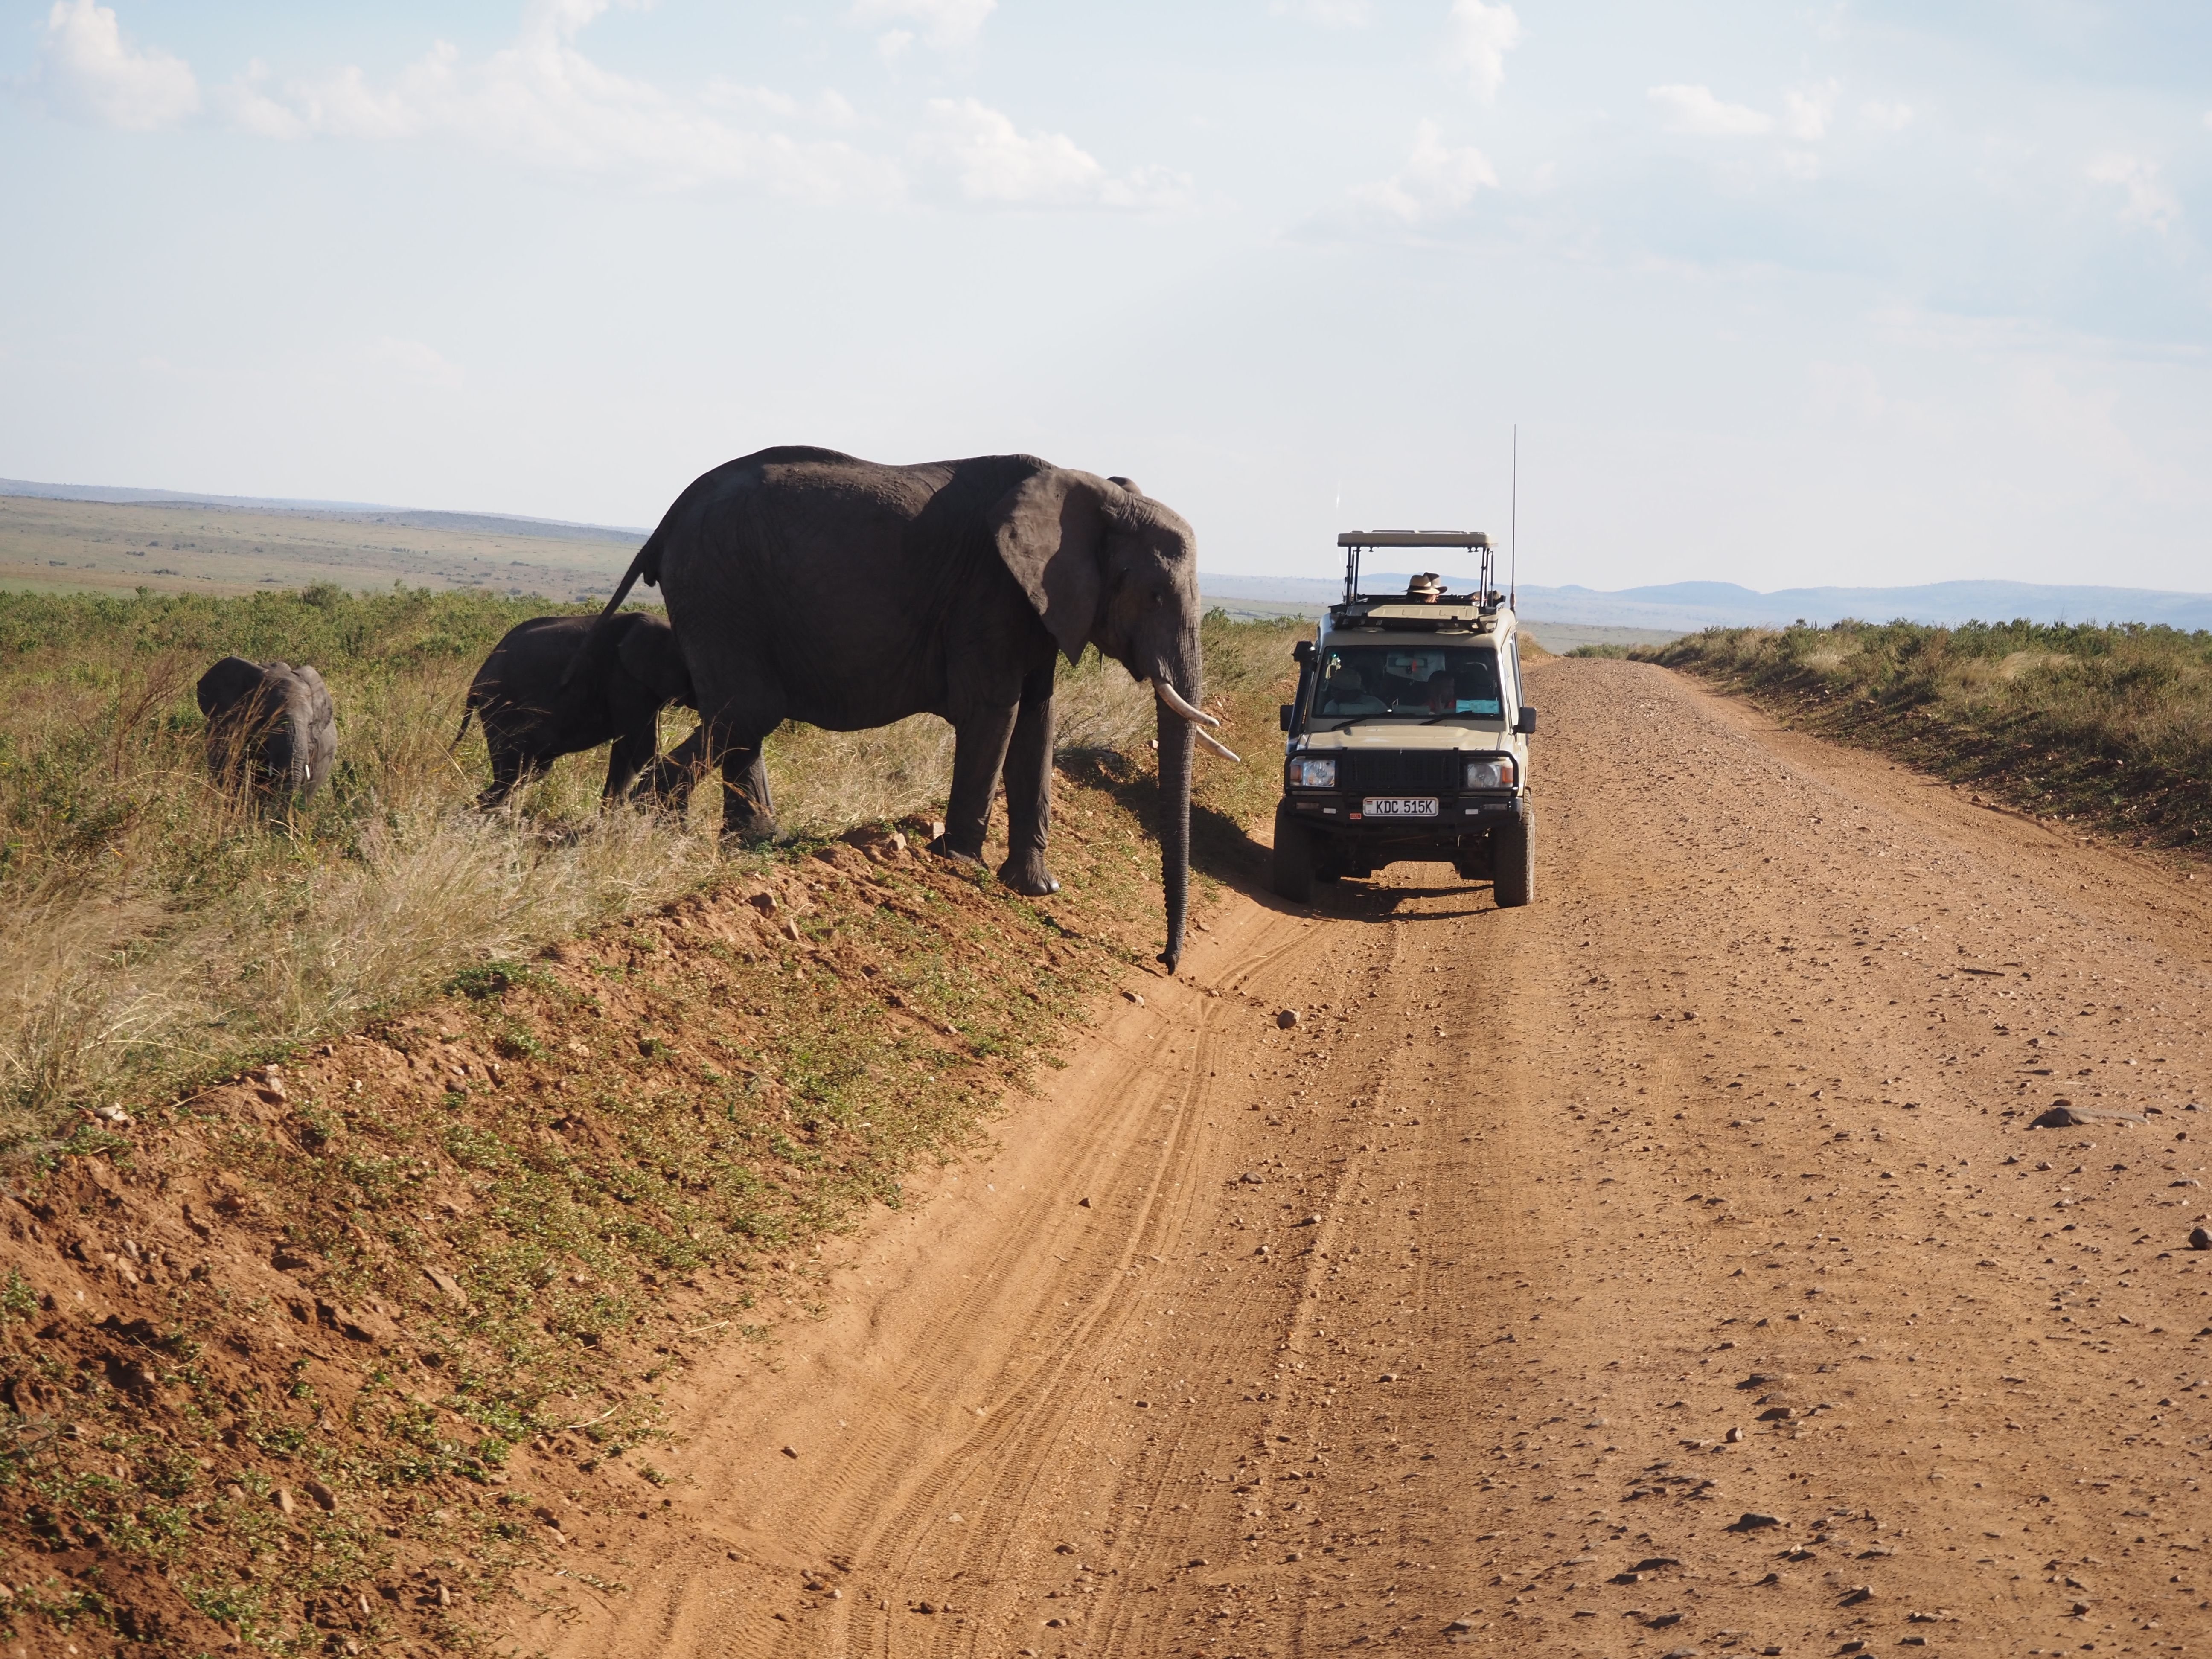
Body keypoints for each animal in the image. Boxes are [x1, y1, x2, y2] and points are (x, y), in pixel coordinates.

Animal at [462, 619, 703, 814]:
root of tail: (476, 679)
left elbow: (627, 752)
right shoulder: (628, 681)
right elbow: (640, 748)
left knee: (534, 769)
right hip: (500, 706)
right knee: (513, 769)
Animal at [579, 451, 1239, 973]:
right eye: (1153, 594)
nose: (1165, 961)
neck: (1095, 490)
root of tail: (666, 520)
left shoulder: (1041, 607)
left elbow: (1038, 720)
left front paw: (1036, 889)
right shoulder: (991, 592)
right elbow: (996, 710)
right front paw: (963, 866)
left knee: (742, 718)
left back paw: (760, 842)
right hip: (718, 585)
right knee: (749, 710)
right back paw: (655, 828)